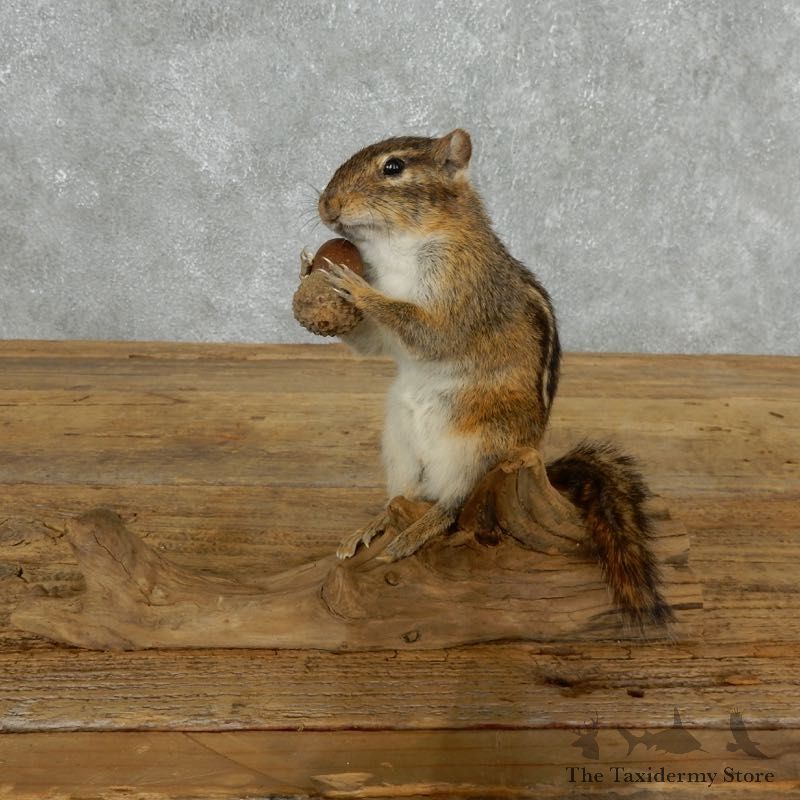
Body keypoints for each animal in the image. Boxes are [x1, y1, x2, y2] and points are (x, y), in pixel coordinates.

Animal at [305, 128, 672, 624]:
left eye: (393, 167)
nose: (327, 205)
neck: (397, 245)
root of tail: (533, 455)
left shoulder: (465, 289)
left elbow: (430, 332)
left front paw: (357, 287)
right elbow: (377, 343)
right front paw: (309, 267)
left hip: (477, 445)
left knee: (453, 505)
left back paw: (415, 532)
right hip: (398, 443)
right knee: (404, 494)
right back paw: (375, 524)